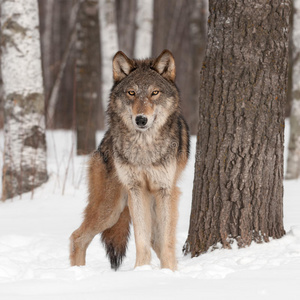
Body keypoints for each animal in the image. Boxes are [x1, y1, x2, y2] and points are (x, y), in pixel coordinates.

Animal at [69, 49, 189, 272]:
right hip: (111, 210)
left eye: (154, 93)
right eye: (131, 93)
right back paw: (76, 272)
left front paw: (168, 272)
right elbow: (141, 239)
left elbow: (166, 241)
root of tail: (103, 141)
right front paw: (140, 271)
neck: (144, 148)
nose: (141, 119)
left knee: (157, 240)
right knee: (77, 237)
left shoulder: (165, 190)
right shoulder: (136, 190)